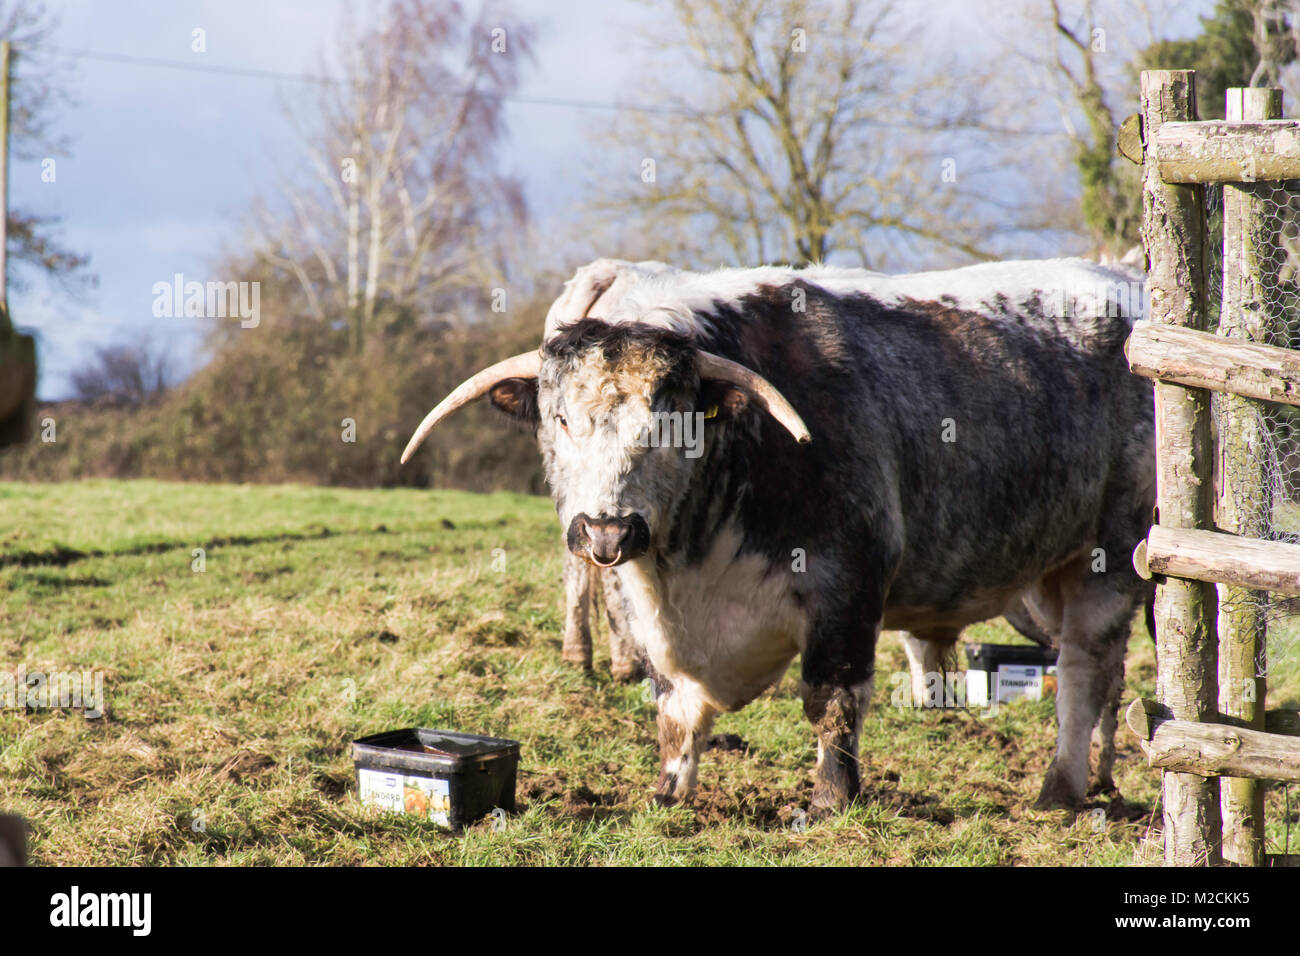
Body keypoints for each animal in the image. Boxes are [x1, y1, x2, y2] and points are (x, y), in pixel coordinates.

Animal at [402, 257, 1155, 813]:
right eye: (560, 419)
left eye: (671, 420)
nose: (607, 529)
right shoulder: (646, 612)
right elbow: (673, 707)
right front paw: (668, 794)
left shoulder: (847, 585)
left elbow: (831, 701)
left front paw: (829, 800)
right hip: (1051, 574)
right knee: (1106, 675)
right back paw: (1100, 776)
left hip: (1111, 560)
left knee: (1083, 672)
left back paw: (1061, 788)